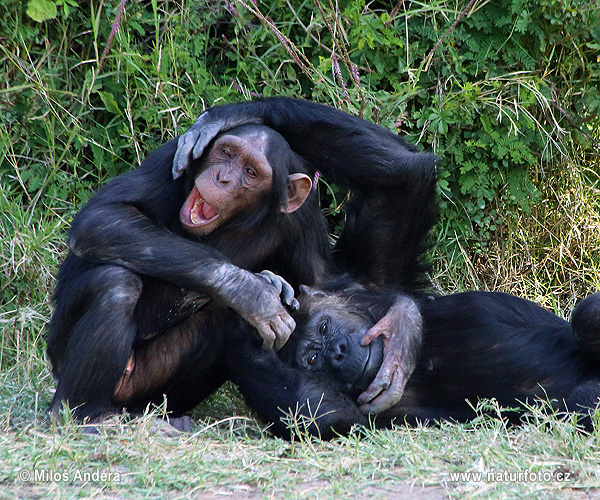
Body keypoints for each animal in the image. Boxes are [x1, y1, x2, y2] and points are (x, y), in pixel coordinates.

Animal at [47, 98, 438, 426]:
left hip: (148, 390)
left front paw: (403, 329)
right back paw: (87, 414)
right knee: (116, 284)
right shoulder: (169, 160)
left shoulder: (301, 215)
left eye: (251, 172)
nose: (223, 177)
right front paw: (252, 291)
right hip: (74, 363)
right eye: (225, 152)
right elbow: (102, 217)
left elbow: (328, 284)